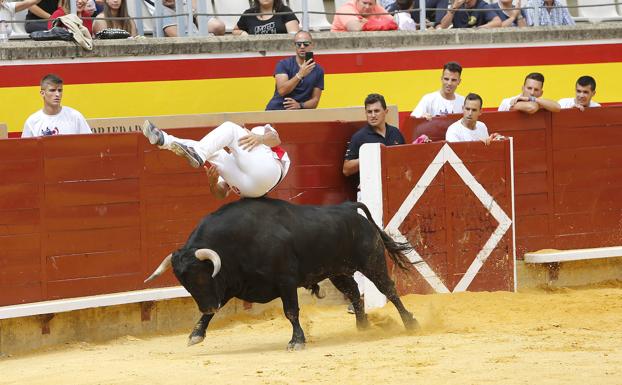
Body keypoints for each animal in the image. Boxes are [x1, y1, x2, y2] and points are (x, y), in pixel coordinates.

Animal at [144, 196, 422, 350]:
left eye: (202, 276)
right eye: (185, 283)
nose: (207, 305)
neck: (236, 242)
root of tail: (348, 207)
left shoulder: (285, 281)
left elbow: (291, 311)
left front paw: (296, 341)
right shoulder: (230, 285)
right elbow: (212, 314)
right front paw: (195, 335)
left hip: (372, 262)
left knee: (389, 289)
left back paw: (411, 323)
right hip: (337, 272)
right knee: (353, 292)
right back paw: (362, 328)